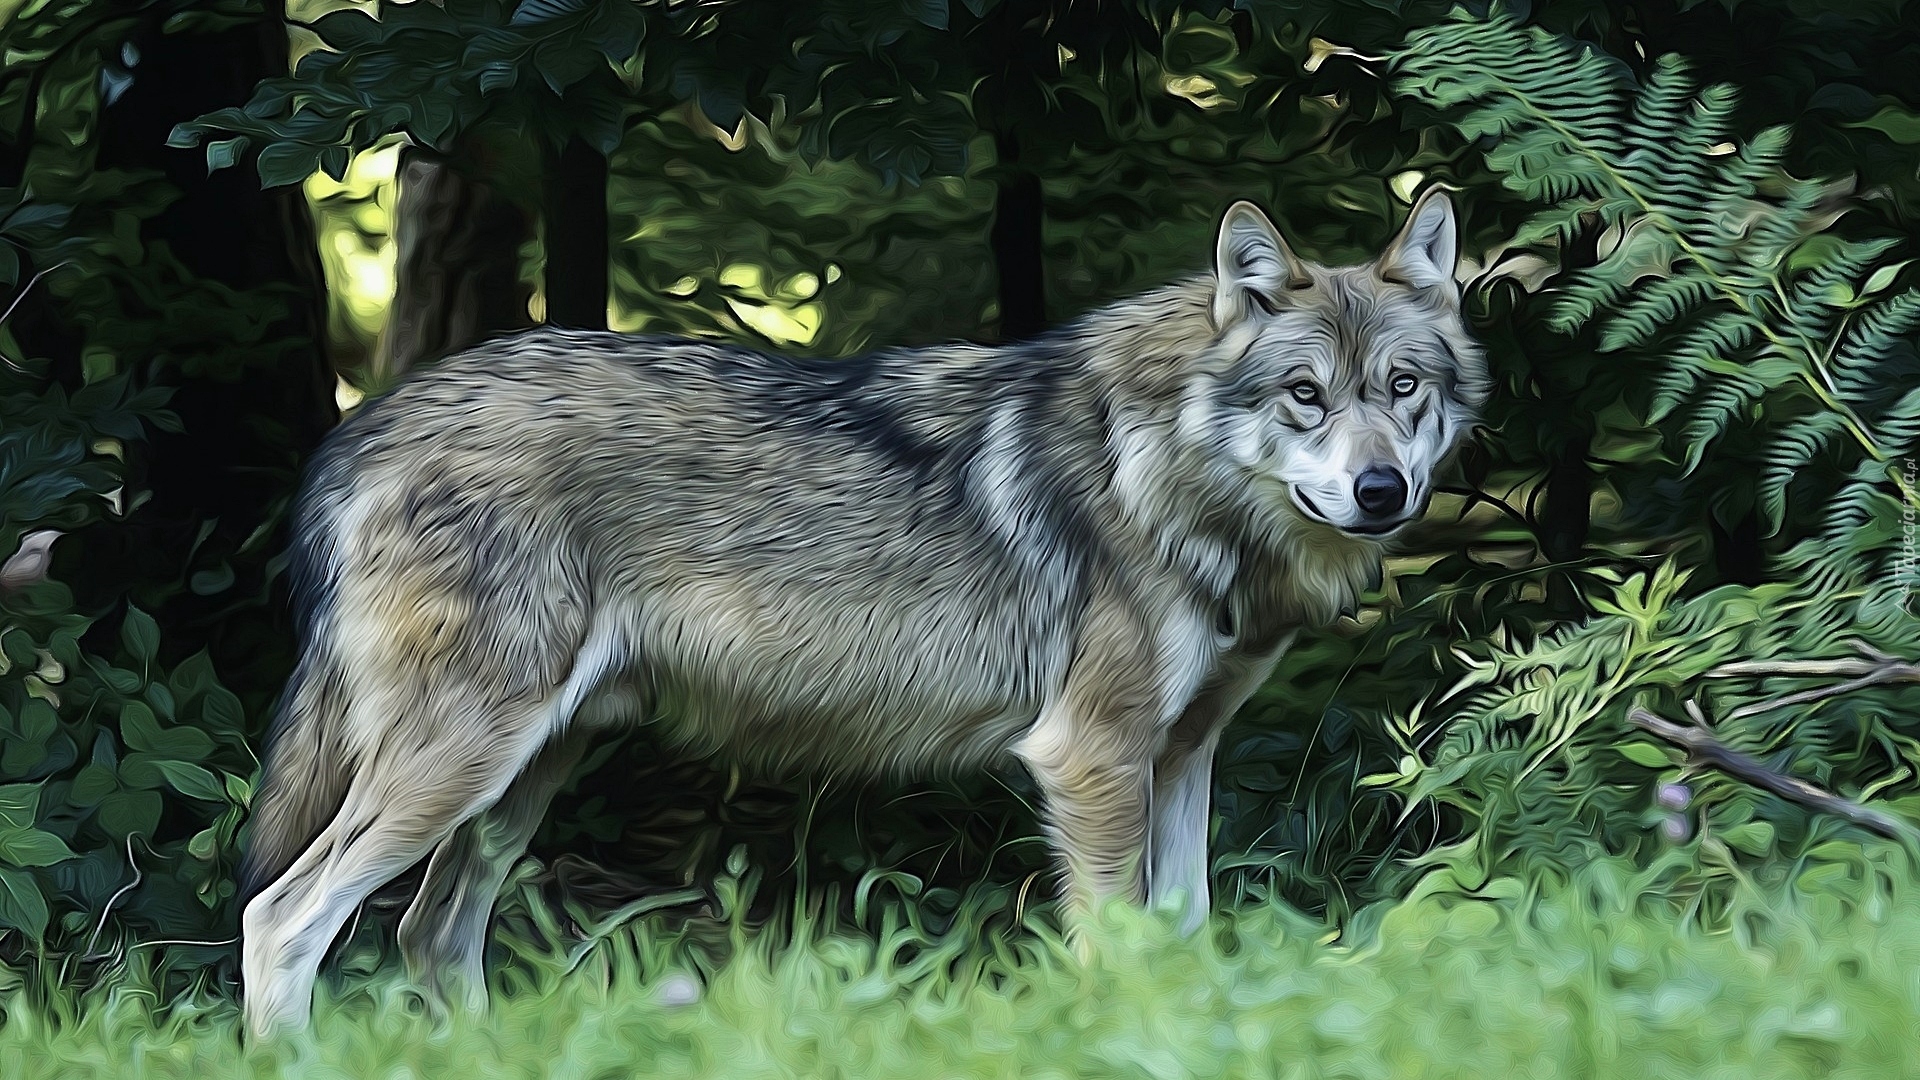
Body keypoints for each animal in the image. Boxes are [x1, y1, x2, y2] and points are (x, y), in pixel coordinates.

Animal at [228, 189, 1482, 1030]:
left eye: (1402, 389)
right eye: (1305, 395)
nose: (1382, 491)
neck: (1166, 470)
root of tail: (370, 421)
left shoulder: (1183, 756)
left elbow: (1183, 938)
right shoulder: (1092, 759)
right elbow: (1117, 953)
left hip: (521, 775)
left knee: (429, 934)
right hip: (465, 762)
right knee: (282, 919)